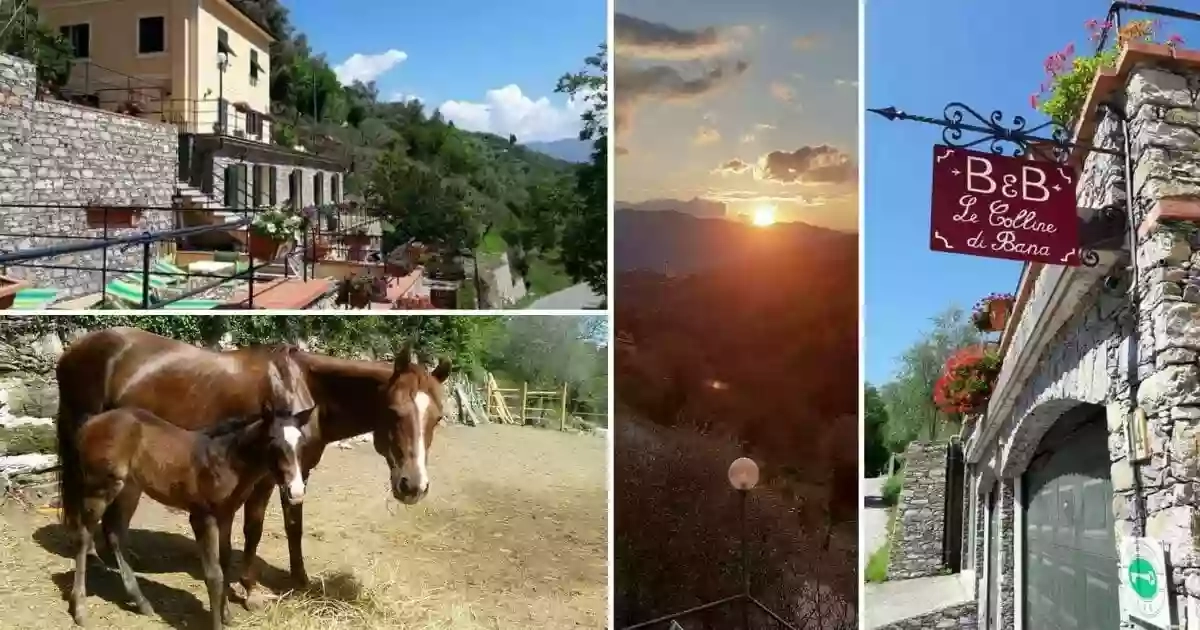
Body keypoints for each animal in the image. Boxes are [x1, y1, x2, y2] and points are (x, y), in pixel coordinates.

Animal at [55, 324, 453, 604]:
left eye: (437, 418)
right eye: (393, 412)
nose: (413, 486)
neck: (302, 388)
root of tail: (72, 352)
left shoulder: (299, 472)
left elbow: (294, 526)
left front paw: (299, 579)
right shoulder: (264, 477)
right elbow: (254, 529)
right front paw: (248, 588)